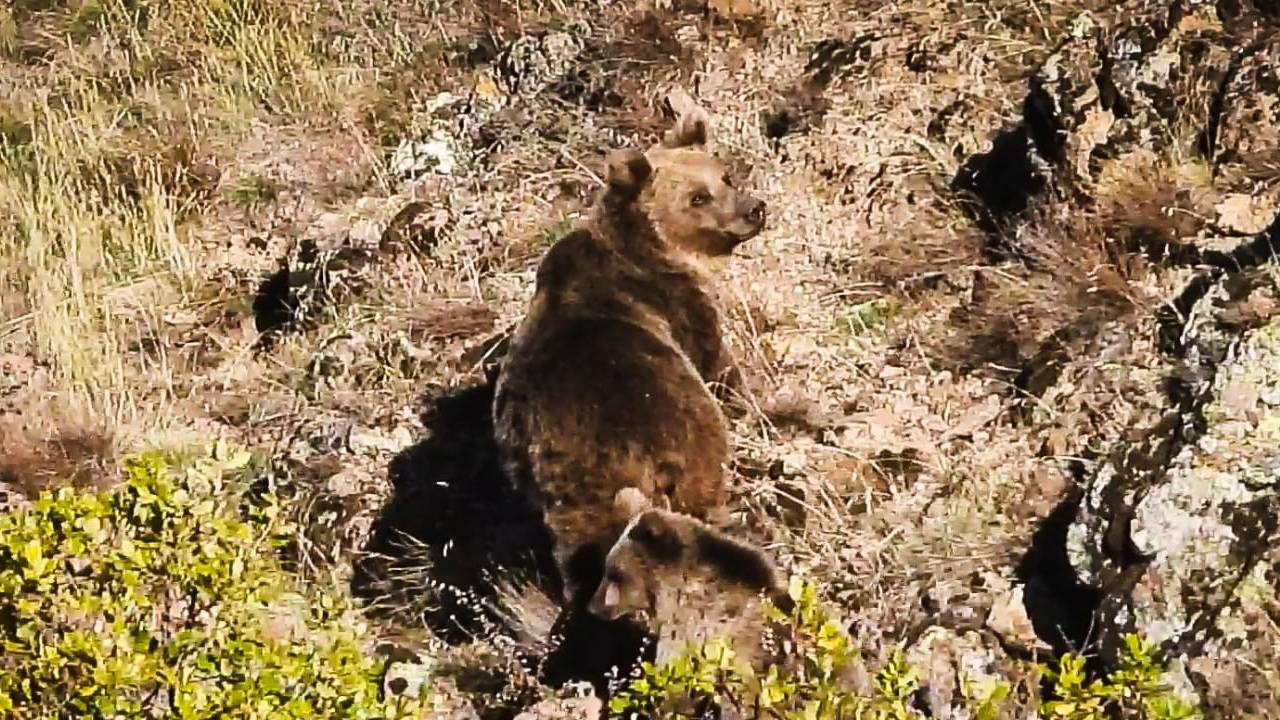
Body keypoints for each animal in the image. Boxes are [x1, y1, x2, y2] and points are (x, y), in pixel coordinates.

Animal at [494, 101, 762, 604]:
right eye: (698, 198)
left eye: (725, 176)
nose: (755, 209)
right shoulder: (679, 304)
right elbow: (718, 362)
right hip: (683, 432)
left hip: (567, 501)